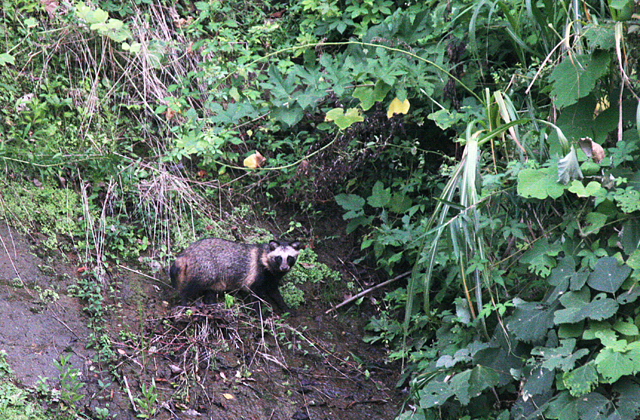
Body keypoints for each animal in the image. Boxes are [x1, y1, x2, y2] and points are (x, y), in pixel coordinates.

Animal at [169, 238, 302, 314]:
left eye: (289, 258)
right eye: (279, 258)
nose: (284, 268)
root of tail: (187, 252)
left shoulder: (271, 279)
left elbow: (274, 292)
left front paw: (284, 306)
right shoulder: (257, 274)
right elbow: (255, 295)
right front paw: (259, 313)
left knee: (210, 292)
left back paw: (212, 306)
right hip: (205, 269)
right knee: (192, 286)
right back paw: (184, 300)